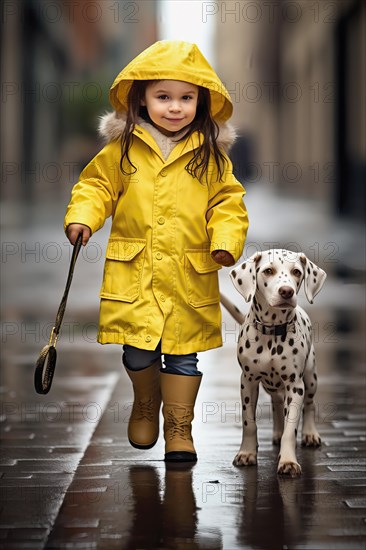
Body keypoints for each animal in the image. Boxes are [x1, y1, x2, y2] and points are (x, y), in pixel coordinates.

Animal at [227, 250, 328, 478]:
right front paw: (247, 453)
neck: (272, 331)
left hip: (310, 378)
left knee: (309, 404)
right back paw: (277, 431)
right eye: (268, 271)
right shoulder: (248, 382)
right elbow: (249, 423)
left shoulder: (295, 386)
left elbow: (291, 429)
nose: (286, 291)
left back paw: (310, 433)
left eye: (297, 272)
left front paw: (288, 460)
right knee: (276, 403)